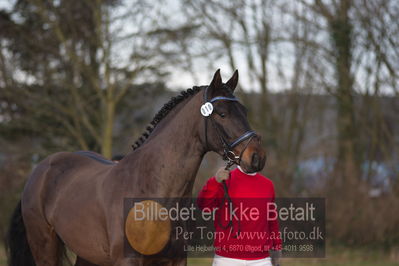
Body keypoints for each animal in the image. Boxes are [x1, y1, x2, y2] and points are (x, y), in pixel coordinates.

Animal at [5, 69, 266, 264]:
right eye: (221, 113)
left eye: (244, 111)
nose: (257, 157)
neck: (153, 190)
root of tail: (40, 171)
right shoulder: (128, 261)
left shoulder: (175, 260)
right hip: (44, 247)